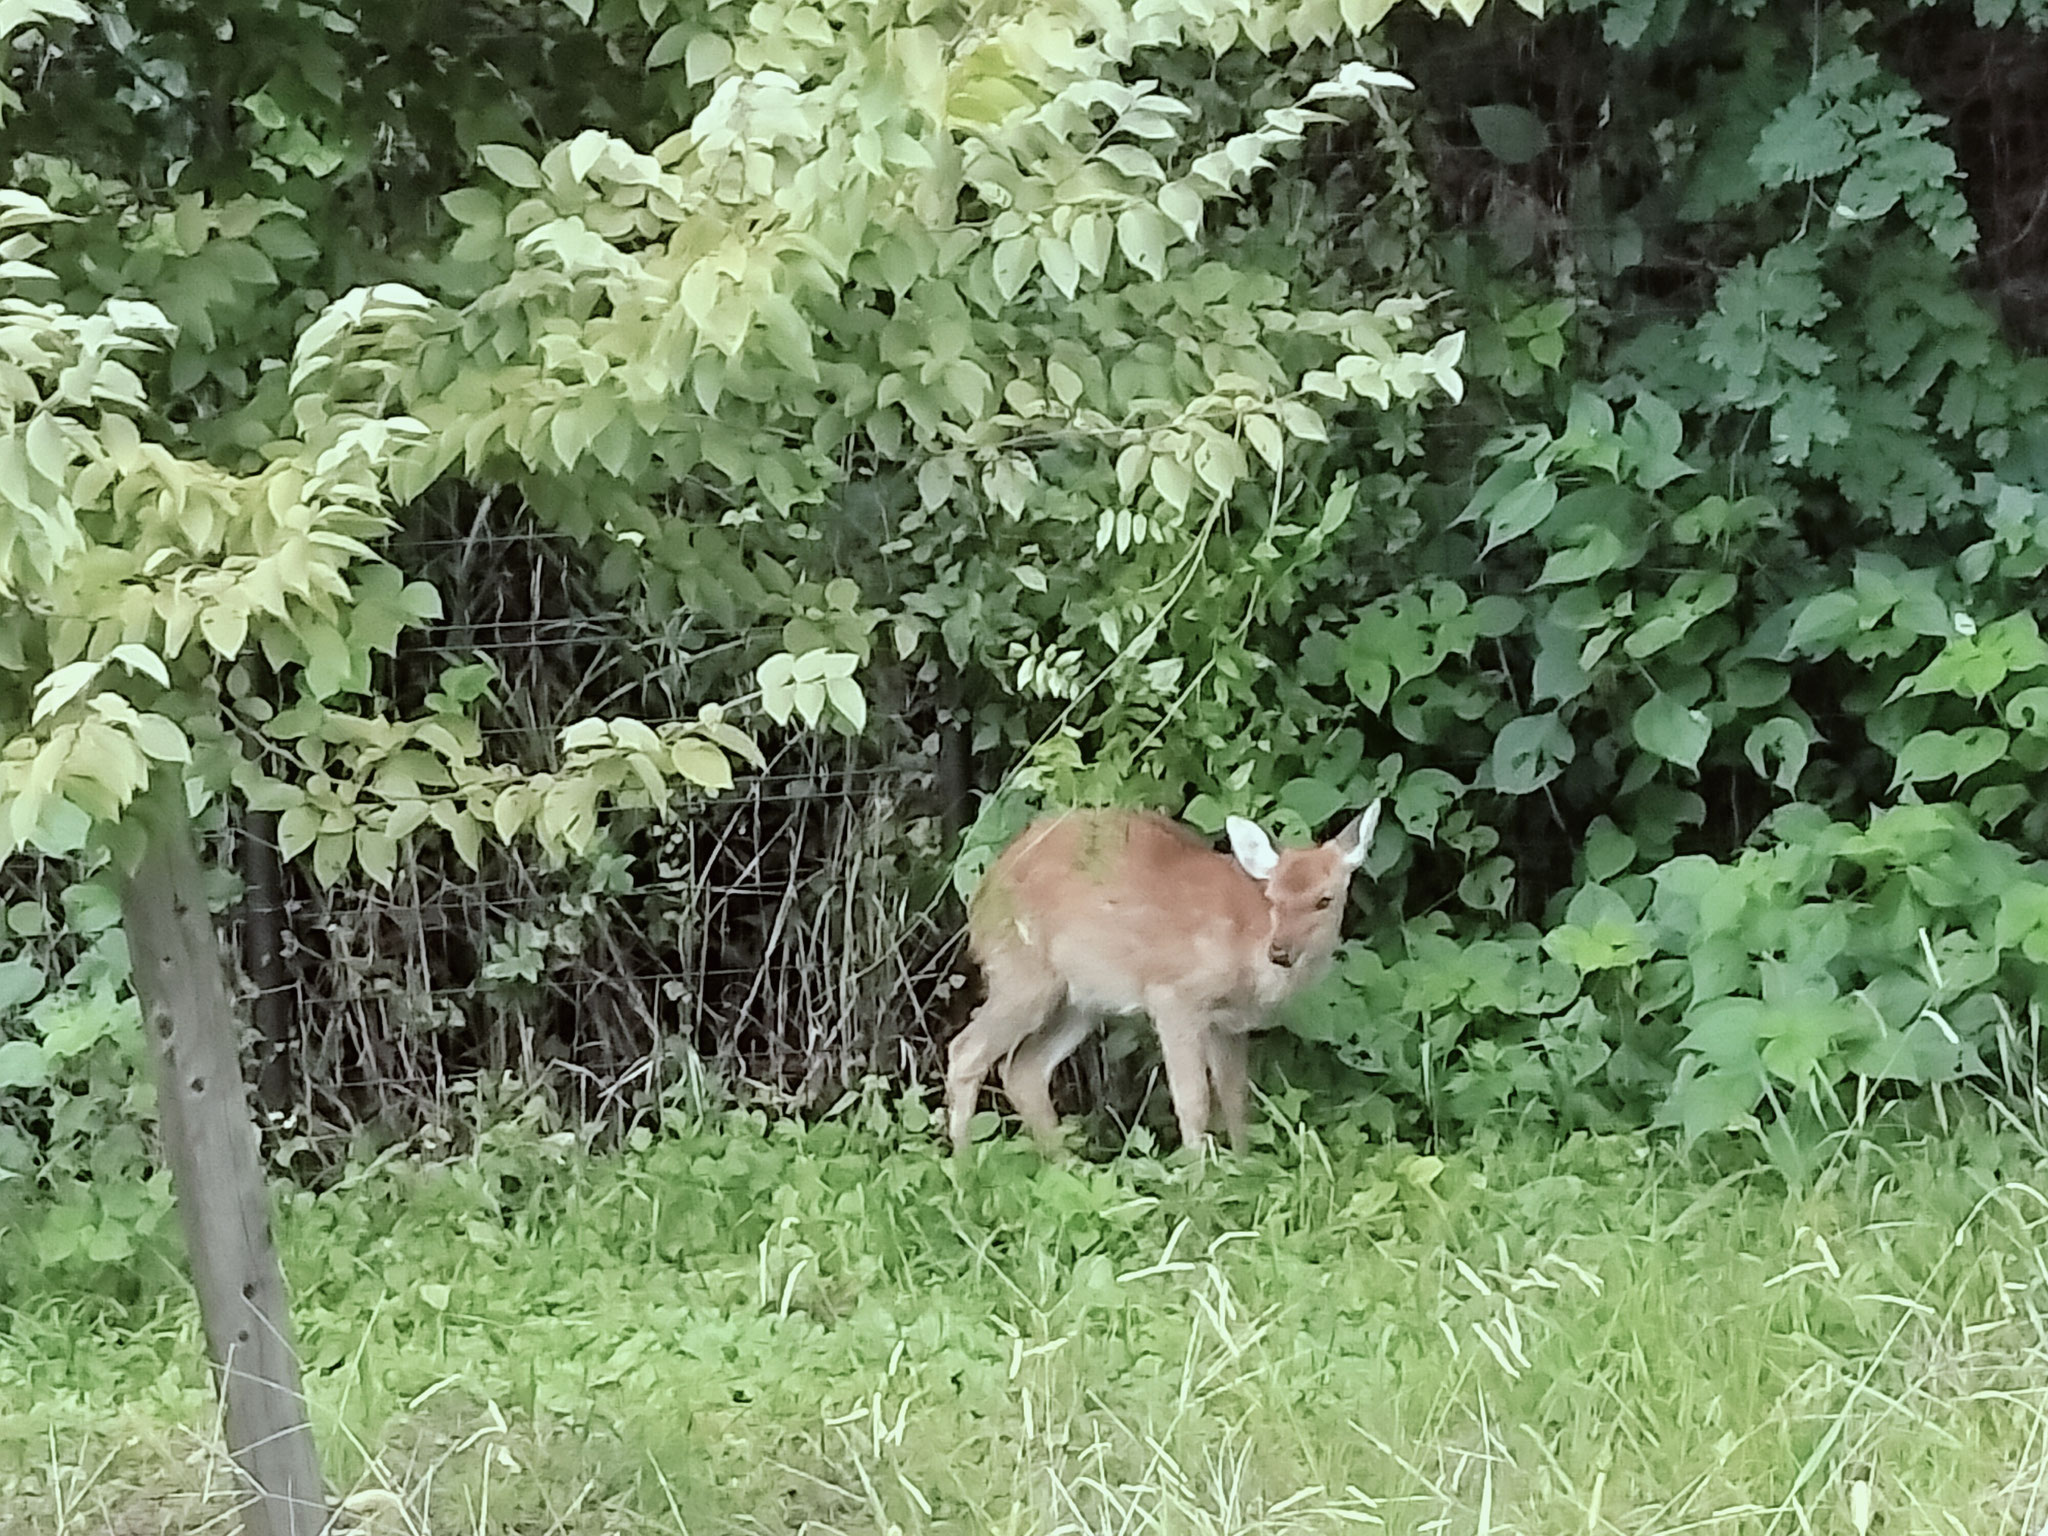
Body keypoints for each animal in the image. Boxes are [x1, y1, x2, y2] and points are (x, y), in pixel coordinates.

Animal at [945, 802, 1380, 1156]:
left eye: (1324, 899)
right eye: (1273, 897)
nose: (1280, 951)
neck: (1247, 948)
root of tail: (980, 896)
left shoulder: (1229, 1024)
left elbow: (1235, 1097)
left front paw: (1244, 1168)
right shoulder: (1173, 996)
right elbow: (1193, 1100)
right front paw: (1199, 1183)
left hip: (1081, 999)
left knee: (1024, 1070)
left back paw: (1068, 1167)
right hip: (1023, 974)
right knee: (965, 1052)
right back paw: (964, 1172)